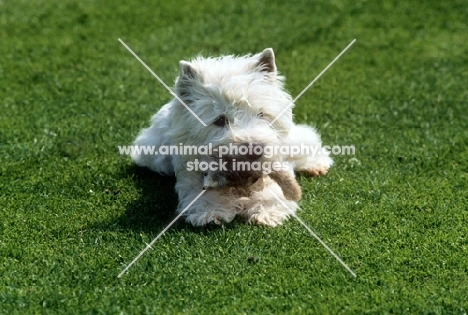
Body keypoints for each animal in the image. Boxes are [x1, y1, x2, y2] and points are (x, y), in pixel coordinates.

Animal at [130, 48, 330, 227]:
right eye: (220, 120)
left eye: (261, 114)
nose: (255, 148)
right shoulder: (192, 174)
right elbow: (201, 192)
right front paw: (211, 212)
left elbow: (273, 189)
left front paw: (267, 211)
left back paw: (317, 165)